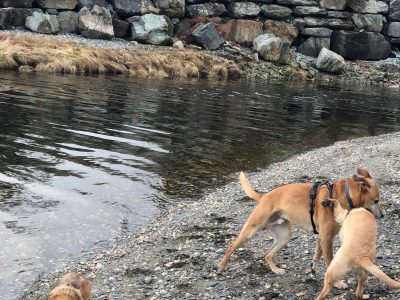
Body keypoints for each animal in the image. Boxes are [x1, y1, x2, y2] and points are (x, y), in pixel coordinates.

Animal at [217, 168, 382, 276]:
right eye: (376, 201)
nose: (382, 215)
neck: (344, 195)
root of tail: (264, 197)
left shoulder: (321, 237)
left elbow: (317, 256)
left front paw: (313, 269)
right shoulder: (326, 238)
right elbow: (329, 260)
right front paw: (339, 283)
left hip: (284, 236)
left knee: (267, 255)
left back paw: (275, 269)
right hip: (252, 229)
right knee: (232, 246)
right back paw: (222, 265)